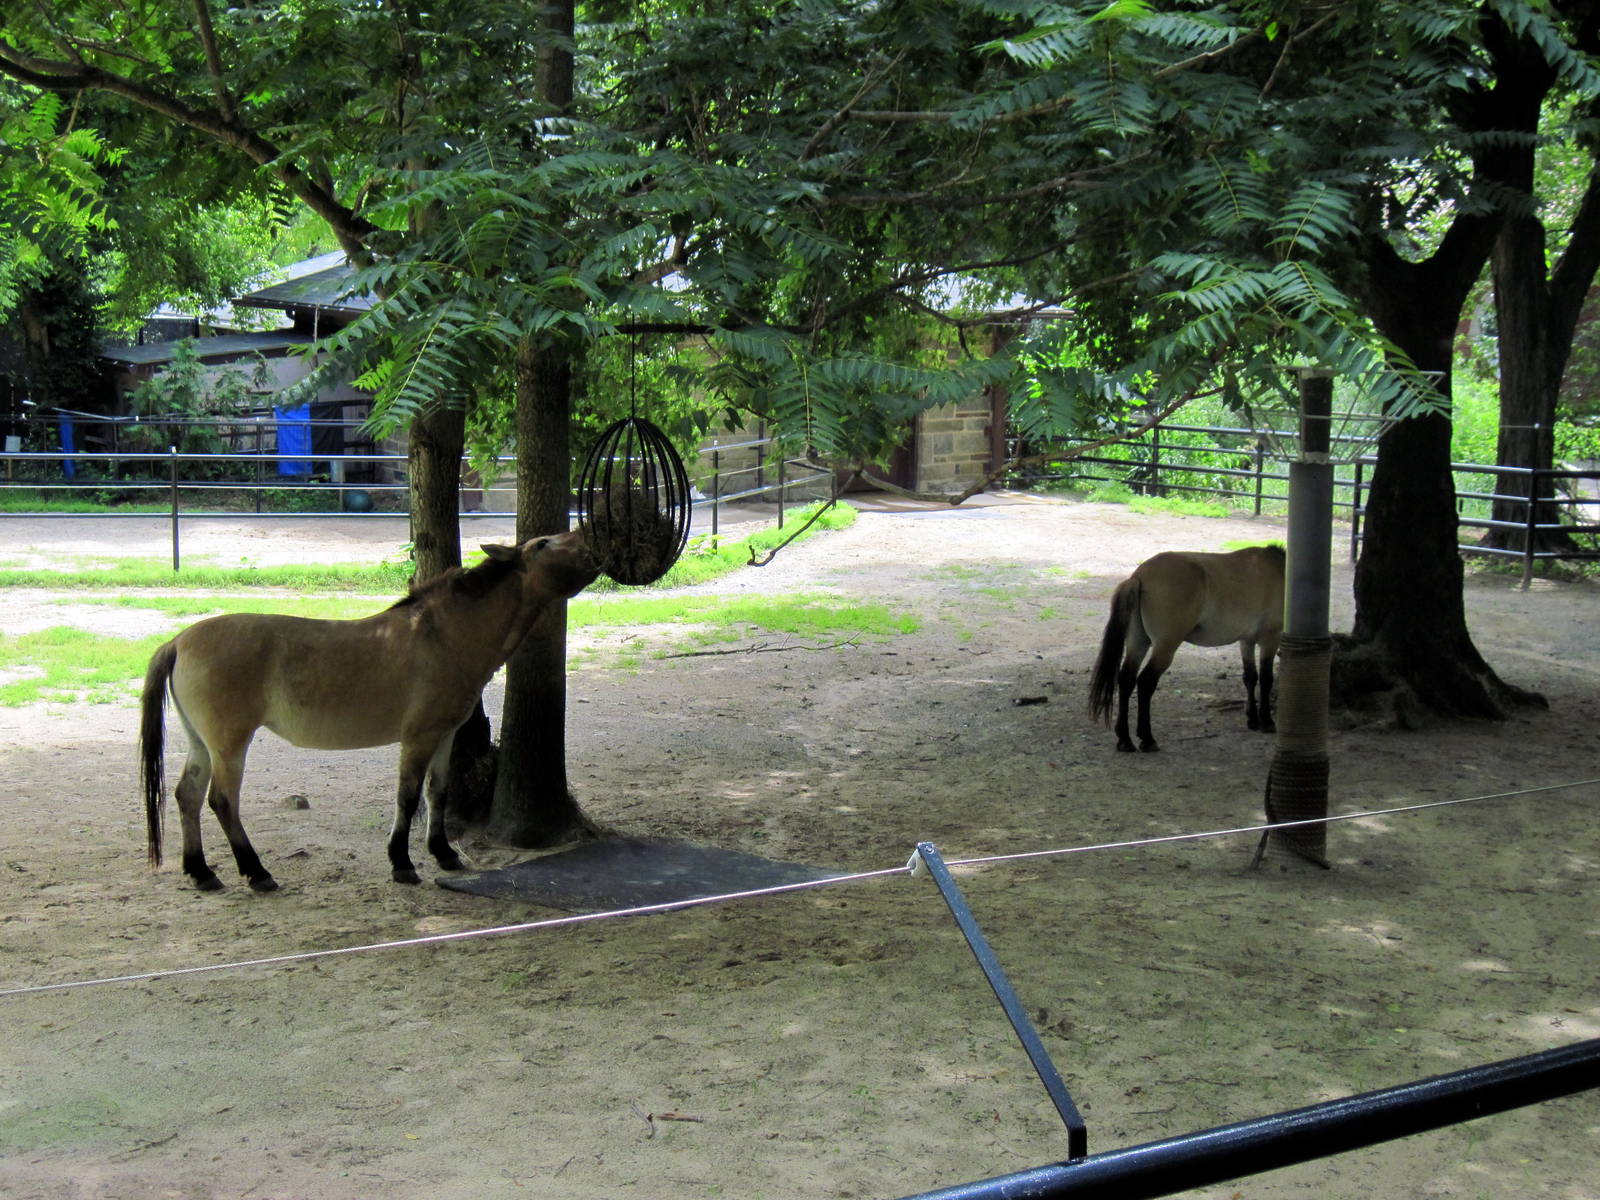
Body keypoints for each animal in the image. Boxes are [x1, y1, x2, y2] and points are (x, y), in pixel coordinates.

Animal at [140, 531, 601, 892]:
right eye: (542, 544)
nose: (589, 541)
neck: (443, 635)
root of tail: (179, 641)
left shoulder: (444, 735)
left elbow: (437, 792)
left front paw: (444, 854)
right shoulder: (418, 737)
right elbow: (408, 797)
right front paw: (402, 863)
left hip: (202, 744)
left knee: (187, 796)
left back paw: (202, 873)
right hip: (230, 745)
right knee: (222, 801)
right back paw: (257, 873)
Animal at [1088, 545, 1284, 753]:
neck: (1280, 570)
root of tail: (1139, 575)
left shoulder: (1246, 641)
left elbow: (1250, 677)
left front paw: (1253, 720)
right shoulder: (1270, 639)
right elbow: (1266, 679)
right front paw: (1267, 721)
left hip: (1137, 643)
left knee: (1126, 680)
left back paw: (1125, 740)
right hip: (1165, 647)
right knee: (1145, 682)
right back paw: (1147, 739)